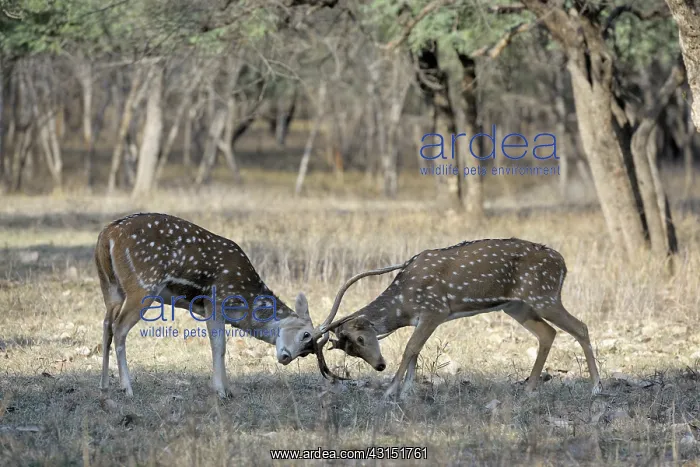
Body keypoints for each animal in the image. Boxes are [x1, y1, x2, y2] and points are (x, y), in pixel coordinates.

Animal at [95, 212, 318, 398]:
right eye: (305, 335)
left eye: (307, 351)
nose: (286, 357)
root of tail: (108, 234)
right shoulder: (215, 301)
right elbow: (219, 346)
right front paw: (221, 391)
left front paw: (227, 389)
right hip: (144, 284)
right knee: (119, 327)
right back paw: (127, 388)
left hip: (111, 287)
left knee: (106, 325)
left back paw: (104, 386)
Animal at [311, 238, 602, 400]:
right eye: (351, 350)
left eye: (361, 338)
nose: (380, 366)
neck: (403, 304)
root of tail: (563, 264)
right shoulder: (424, 318)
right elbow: (416, 352)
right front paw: (406, 392)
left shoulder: (435, 310)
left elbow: (410, 348)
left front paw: (391, 391)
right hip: (517, 306)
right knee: (548, 333)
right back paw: (529, 388)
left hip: (544, 295)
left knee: (581, 327)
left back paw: (596, 387)